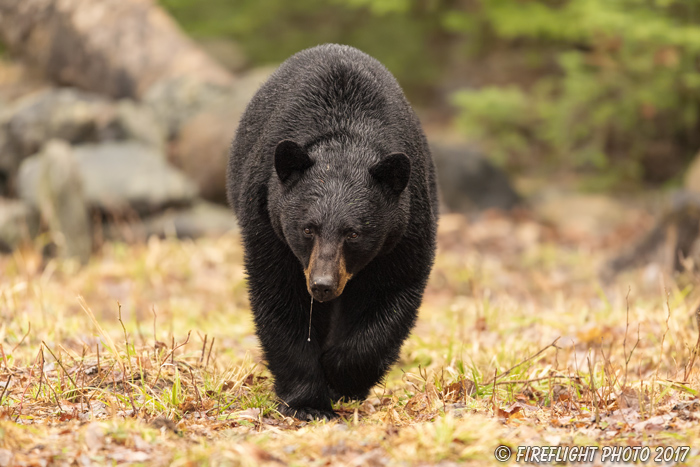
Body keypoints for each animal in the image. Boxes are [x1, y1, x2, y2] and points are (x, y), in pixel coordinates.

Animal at [230, 44, 438, 422]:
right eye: (307, 228)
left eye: (353, 233)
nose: (323, 285)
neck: (345, 141)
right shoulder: (268, 224)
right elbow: (282, 299)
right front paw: (308, 402)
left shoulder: (406, 227)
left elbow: (392, 293)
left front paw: (340, 376)